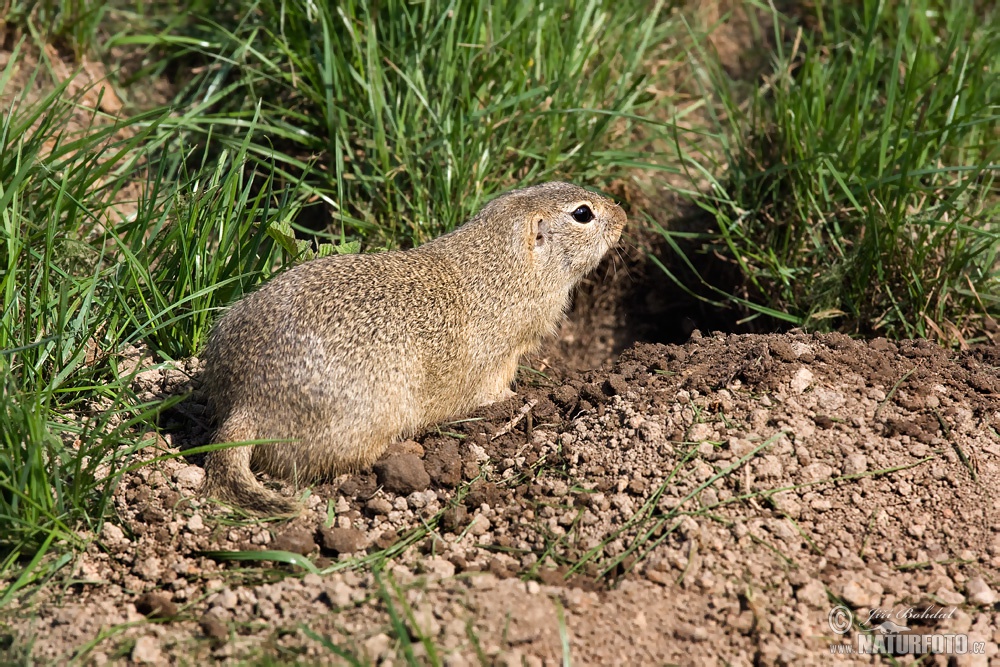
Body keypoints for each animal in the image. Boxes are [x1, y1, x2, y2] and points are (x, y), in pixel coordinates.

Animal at [201, 183, 624, 516]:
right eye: (582, 214)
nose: (621, 214)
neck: (504, 266)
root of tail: (245, 406)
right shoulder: (500, 356)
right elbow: (493, 389)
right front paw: (517, 402)